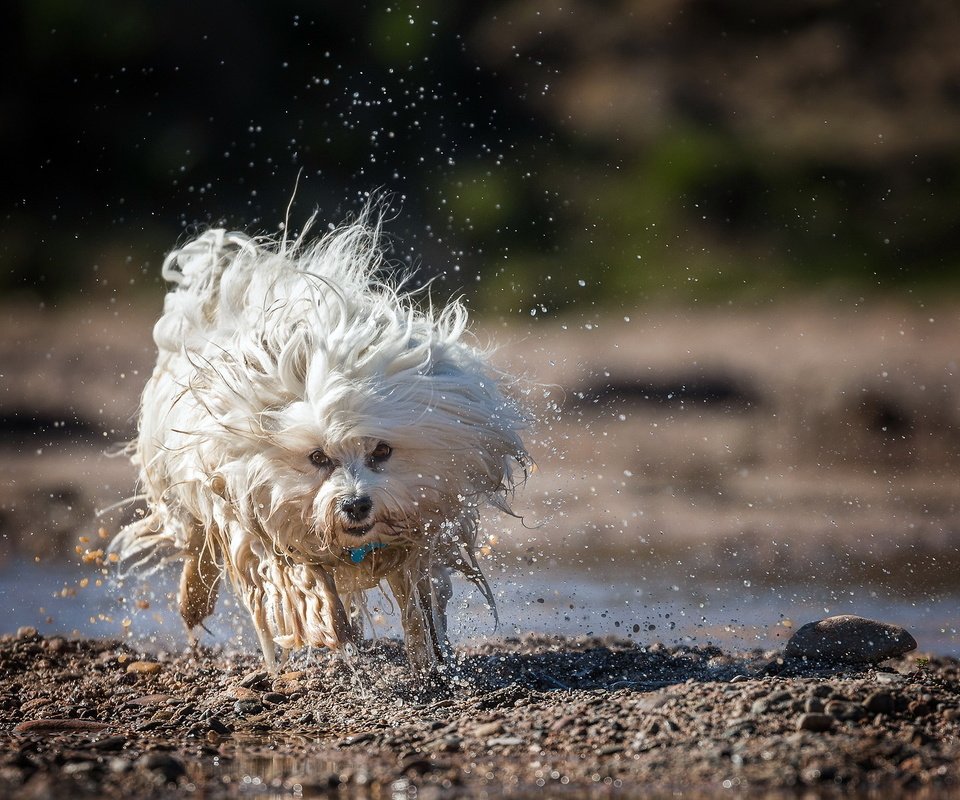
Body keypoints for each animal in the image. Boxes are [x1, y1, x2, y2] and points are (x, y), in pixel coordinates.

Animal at [117, 209, 532, 672]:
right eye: (318, 457)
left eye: (381, 451)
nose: (355, 504)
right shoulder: (257, 517)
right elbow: (306, 583)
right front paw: (333, 632)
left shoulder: (423, 521)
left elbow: (418, 600)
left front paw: (429, 658)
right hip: (181, 483)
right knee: (195, 544)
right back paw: (193, 603)